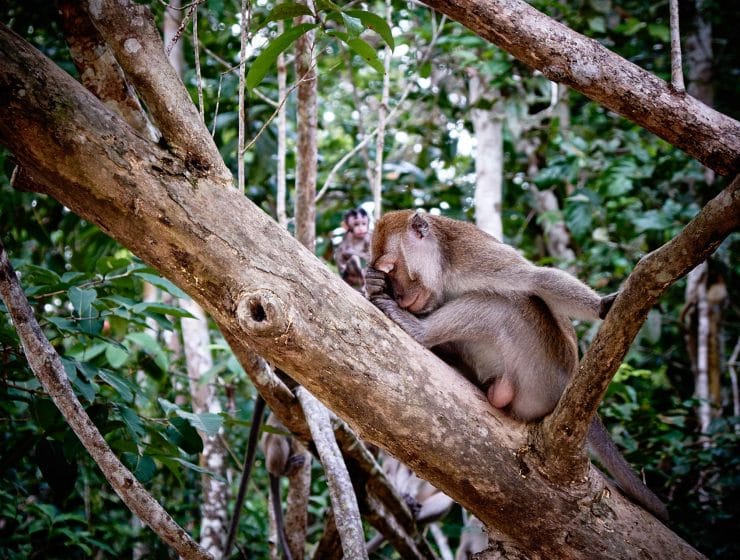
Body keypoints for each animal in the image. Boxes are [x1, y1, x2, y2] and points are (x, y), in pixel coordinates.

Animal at [365, 209, 668, 521]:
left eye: (393, 269)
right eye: (388, 276)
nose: (400, 296)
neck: (443, 268)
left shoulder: (473, 258)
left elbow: (536, 279)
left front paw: (603, 306)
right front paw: (371, 284)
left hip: (541, 374)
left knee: (503, 305)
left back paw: (419, 331)